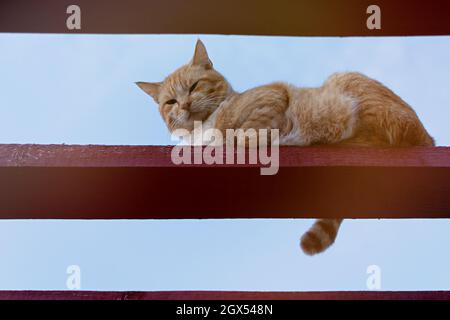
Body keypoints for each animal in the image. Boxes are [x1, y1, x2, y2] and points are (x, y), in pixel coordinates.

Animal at [135, 39, 434, 255]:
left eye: (194, 86)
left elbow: (239, 135)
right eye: (171, 102)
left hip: (345, 88)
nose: (184, 105)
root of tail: (429, 137)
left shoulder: (272, 97)